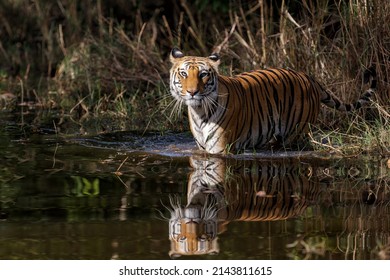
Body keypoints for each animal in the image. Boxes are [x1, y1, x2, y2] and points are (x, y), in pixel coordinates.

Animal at [169, 47, 376, 153]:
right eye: (183, 74)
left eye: (203, 74)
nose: (192, 92)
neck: (199, 111)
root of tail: (307, 76)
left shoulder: (219, 149)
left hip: (296, 130)